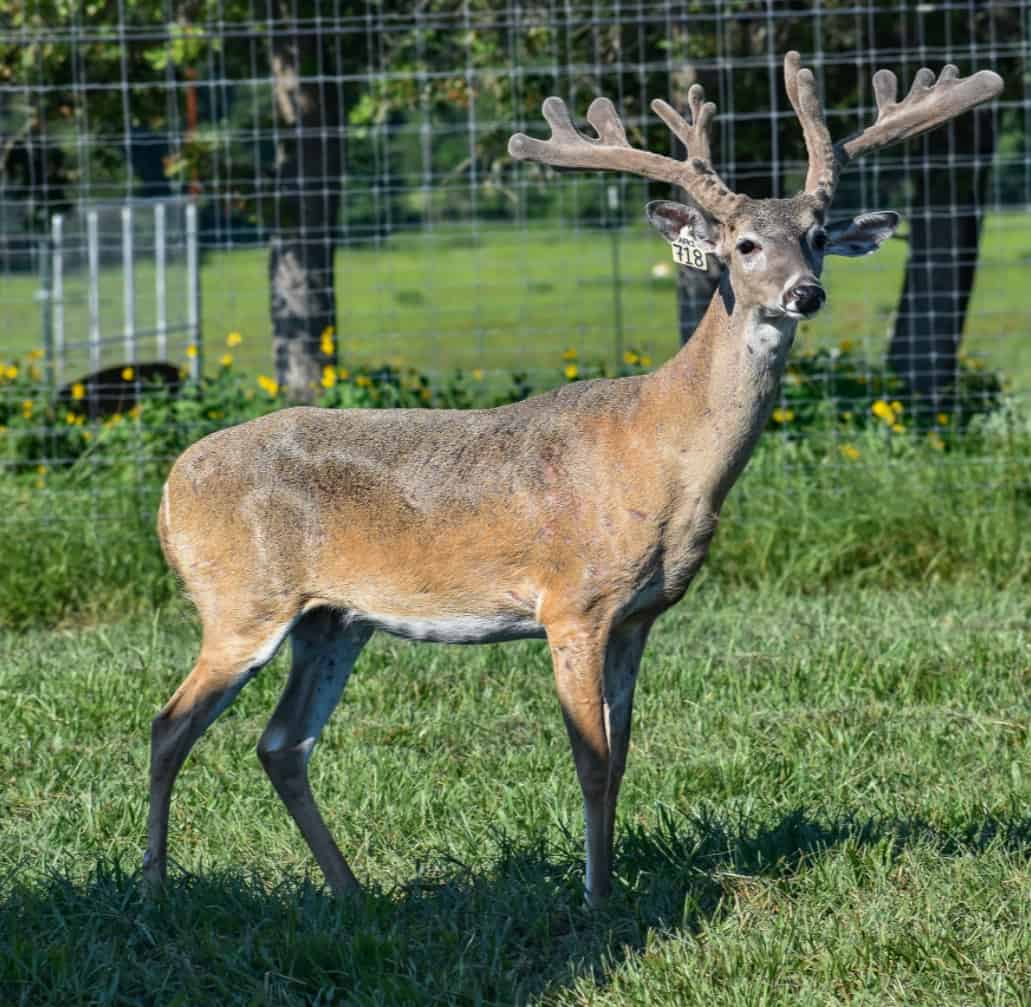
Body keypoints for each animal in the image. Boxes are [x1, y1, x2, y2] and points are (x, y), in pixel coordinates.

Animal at [144, 52, 1002, 906]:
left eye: (818, 236)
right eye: (744, 245)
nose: (806, 292)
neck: (661, 450)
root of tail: (169, 490)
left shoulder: (637, 616)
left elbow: (619, 759)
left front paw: (611, 880)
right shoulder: (573, 603)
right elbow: (588, 760)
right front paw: (593, 899)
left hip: (333, 620)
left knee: (282, 741)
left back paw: (350, 891)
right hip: (241, 600)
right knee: (169, 724)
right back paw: (153, 889)